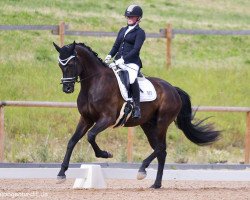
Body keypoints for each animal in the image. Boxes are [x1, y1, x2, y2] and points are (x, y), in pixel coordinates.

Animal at [53, 41, 221, 188]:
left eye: (71, 64)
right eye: (60, 65)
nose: (67, 88)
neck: (94, 83)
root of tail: (173, 89)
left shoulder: (106, 119)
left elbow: (91, 136)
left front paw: (105, 154)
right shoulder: (86, 119)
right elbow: (72, 141)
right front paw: (61, 174)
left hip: (162, 122)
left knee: (160, 148)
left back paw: (142, 170)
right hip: (148, 125)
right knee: (160, 150)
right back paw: (156, 184)